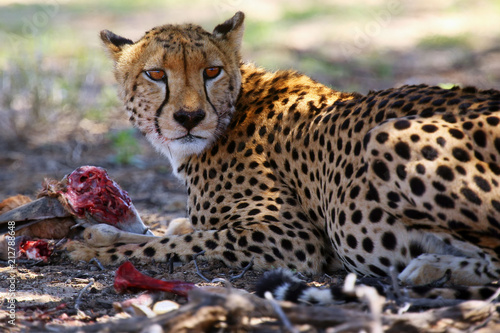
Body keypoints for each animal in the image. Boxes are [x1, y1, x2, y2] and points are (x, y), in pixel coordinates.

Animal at [68, 11, 500, 286]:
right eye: (156, 74)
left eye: (212, 71)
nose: (189, 117)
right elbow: (174, 230)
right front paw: (101, 233)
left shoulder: (293, 238)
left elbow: (180, 242)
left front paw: (92, 253)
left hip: (386, 138)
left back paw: (431, 268)